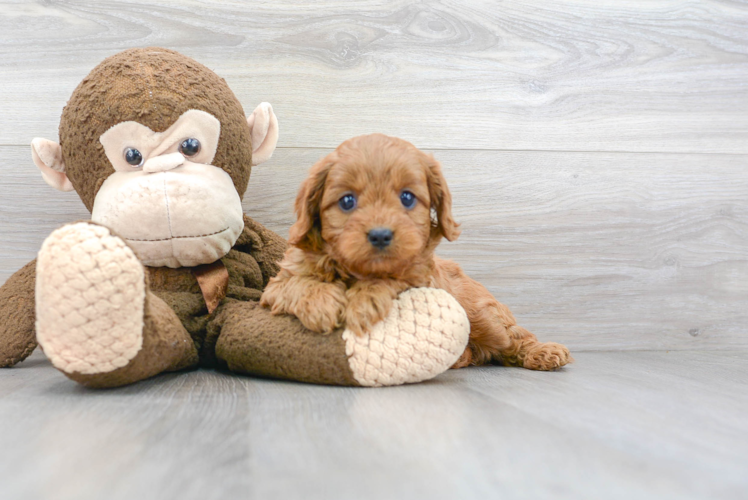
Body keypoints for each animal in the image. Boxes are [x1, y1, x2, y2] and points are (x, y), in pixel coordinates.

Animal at [260, 135, 568, 370]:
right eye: (347, 201)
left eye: (407, 197)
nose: (380, 235)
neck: (357, 271)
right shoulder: (275, 286)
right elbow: (297, 283)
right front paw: (320, 304)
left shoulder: (422, 278)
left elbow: (393, 279)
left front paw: (364, 302)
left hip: (484, 318)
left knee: (513, 338)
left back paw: (544, 352)